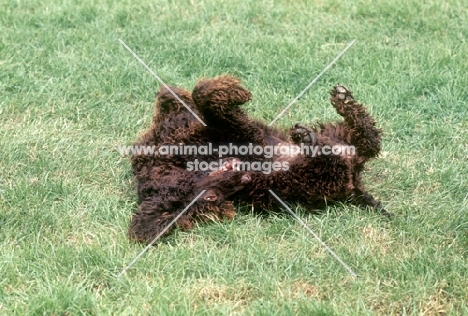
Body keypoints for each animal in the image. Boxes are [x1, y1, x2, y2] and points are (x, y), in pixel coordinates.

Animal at [128, 75, 392, 243]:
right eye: (212, 198)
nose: (240, 177)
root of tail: (354, 181)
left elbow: (196, 94)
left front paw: (226, 89)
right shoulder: (242, 132)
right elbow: (203, 98)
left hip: (339, 134)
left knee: (368, 136)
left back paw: (342, 102)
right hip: (312, 180)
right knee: (341, 157)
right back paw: (310, 140)